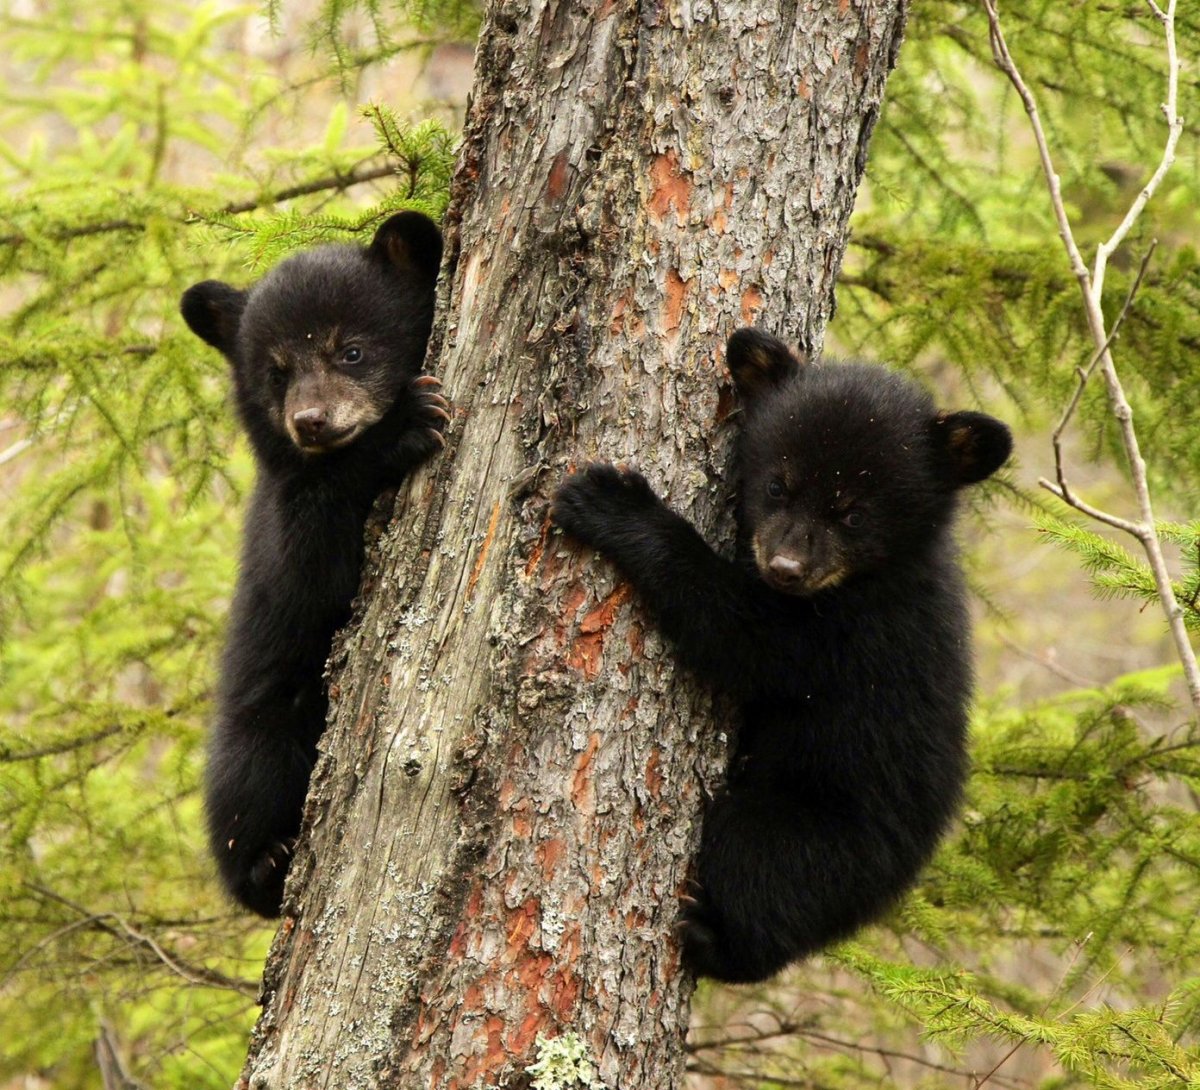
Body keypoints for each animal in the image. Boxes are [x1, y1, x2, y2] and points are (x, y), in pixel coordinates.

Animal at [181, 211, 447, 917]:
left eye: (349, 350)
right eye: (275, 372)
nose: (311, 422)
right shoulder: (283, 511)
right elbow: (311, 572)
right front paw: (404, 426)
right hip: (262, 722)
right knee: (245, 784)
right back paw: (266, 865)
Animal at [550, 328, 1012, 982]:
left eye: (853, 513)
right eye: (778, 485)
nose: (786, 567)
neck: (871, 576)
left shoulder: (853, 634)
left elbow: (742, 636)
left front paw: (612, 503)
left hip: (810, 829)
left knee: (763, 879)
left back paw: (713, 941)